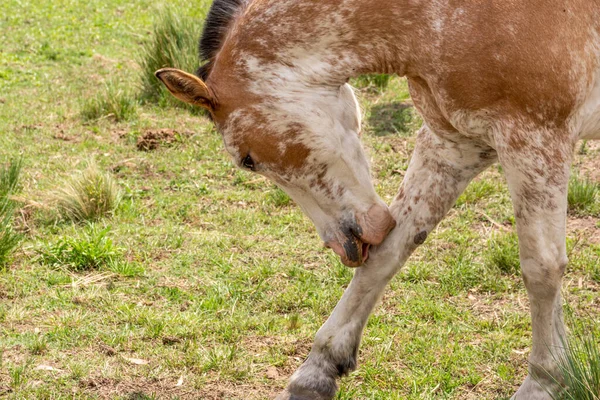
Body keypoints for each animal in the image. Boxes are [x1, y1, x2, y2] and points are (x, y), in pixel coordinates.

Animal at [156, 0, 600, 398]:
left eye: (248, 160)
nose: (344, 244)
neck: (444, 16)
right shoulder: (454, 145)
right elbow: (387, 255)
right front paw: (318, 371)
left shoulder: (535, 141)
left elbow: (541, 269)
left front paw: (545, 382)